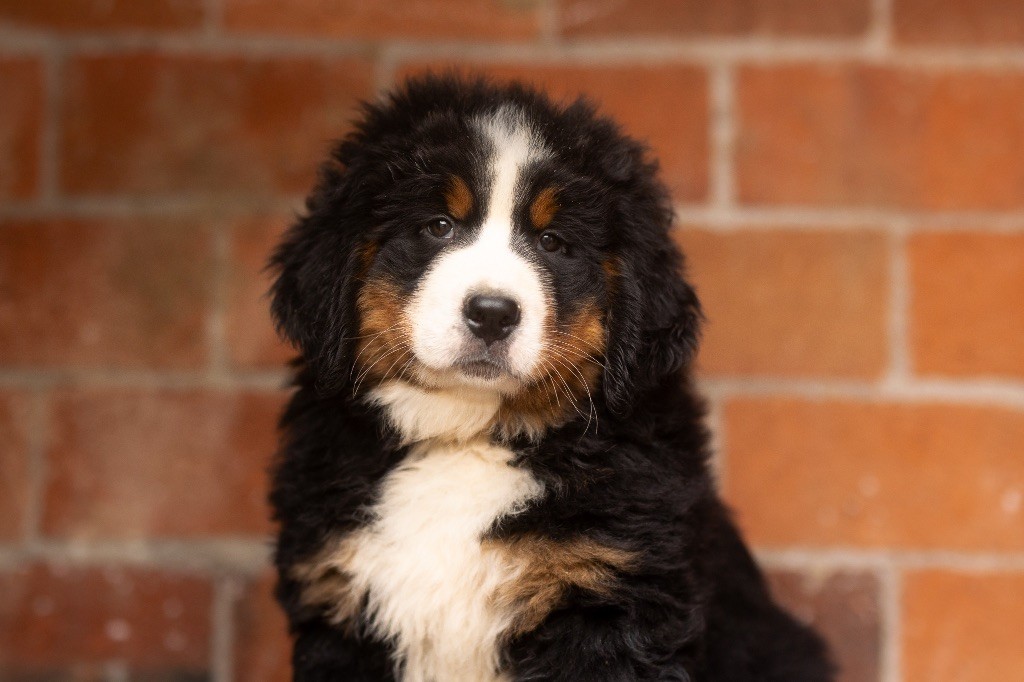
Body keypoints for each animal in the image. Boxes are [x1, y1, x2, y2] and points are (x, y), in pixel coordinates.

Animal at [266, 75, 831, 679]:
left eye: (553, 242)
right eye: (438, 226)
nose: (492, 313)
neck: (467, 438)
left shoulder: (606, 595)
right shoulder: (339, 599)